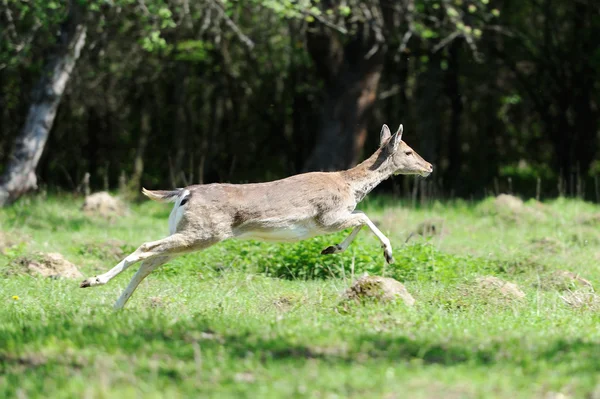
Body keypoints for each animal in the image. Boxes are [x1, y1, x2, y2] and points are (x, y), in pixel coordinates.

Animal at [82, 123, 434, 310]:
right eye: (408, 151)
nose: (429, 166)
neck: (350, 185)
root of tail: (183, 193)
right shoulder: (326, 218)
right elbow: (364, 217)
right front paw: (387, 253)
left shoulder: (331, 219)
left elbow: (361, 217)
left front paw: (331, 249)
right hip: (205, 232)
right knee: (145, 248)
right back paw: (93, 282)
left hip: (187, 233)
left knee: (150, 261)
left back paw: (115, 304)